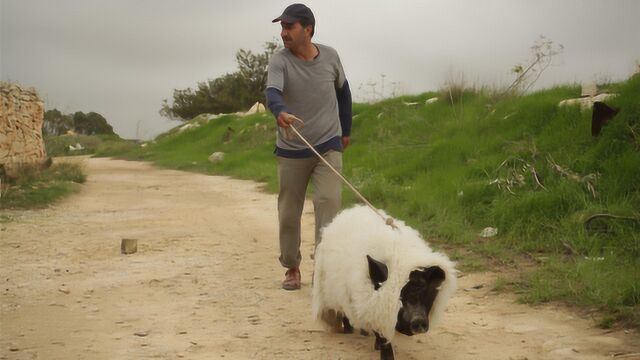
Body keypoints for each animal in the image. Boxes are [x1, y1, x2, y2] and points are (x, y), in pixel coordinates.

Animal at [312, 205, 458, 360]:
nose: (418, 320)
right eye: (402, 294)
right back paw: (349, 331)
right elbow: (381, 331)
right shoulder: (375, 303)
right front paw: (386, 355)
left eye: (425, 290)